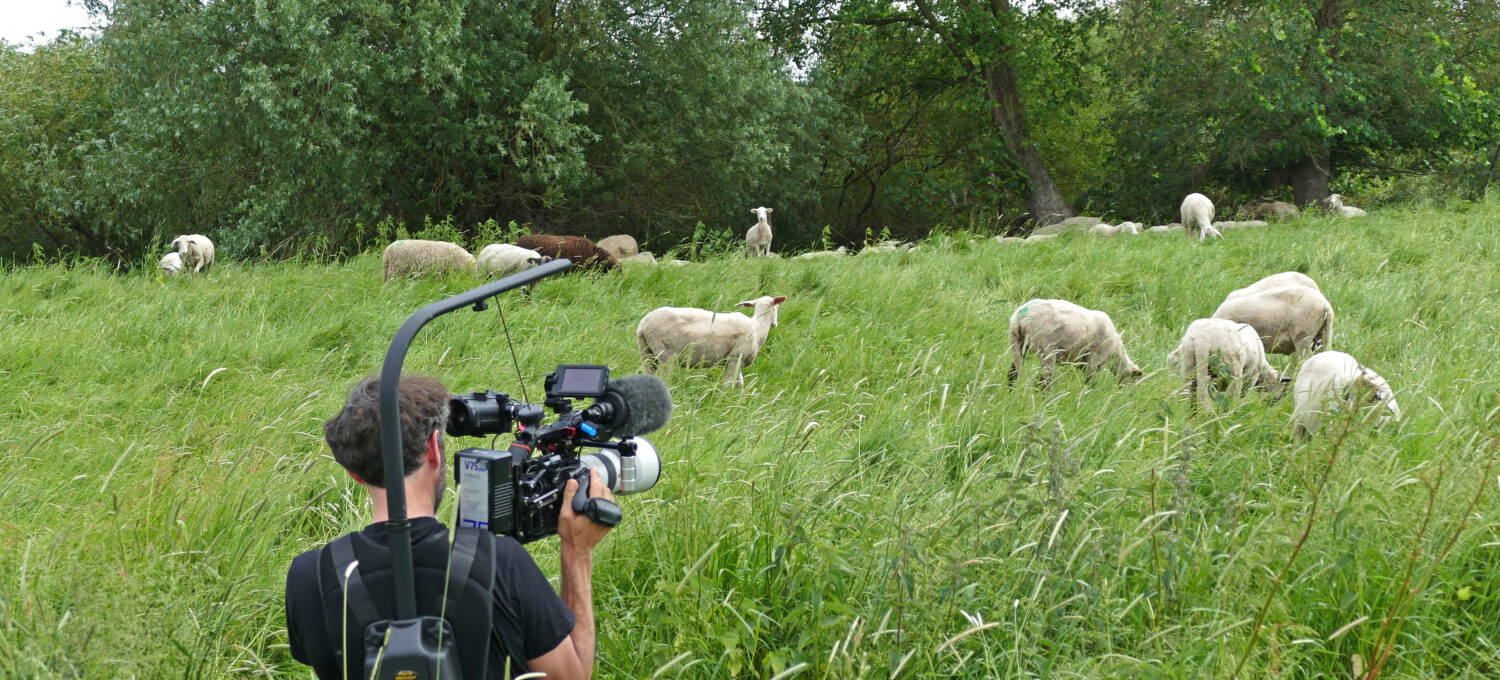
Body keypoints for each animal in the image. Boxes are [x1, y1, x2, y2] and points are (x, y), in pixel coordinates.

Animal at [639, 292, 792, 387]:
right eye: (776, 307)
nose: (775, 324)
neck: (757, 326)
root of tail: (643, 325)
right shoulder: (735, 358)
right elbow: (727, 383)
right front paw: (724, 399)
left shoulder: (737, 360)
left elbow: (740, 383)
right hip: (666, 354)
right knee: (665, 378)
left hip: (646, 352)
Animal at [1002, 298, 1140, 387]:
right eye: (1134, 382)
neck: (1116, 352)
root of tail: (1020, 316)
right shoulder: (1094, 359)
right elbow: (1091, 382)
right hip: (1046, 347)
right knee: (1044, 379)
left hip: (1018, 342)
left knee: (1013, 373)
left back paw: (1011, 392)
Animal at [1158, 316, 1290, 408]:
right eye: (1283, 392)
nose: (1270, 405)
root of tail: (1202, 340)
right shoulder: (1251, 378)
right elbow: (1242, 397)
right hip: (1232, 370)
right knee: (1232, 396)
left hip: (1189, 364)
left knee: (1191, 395)